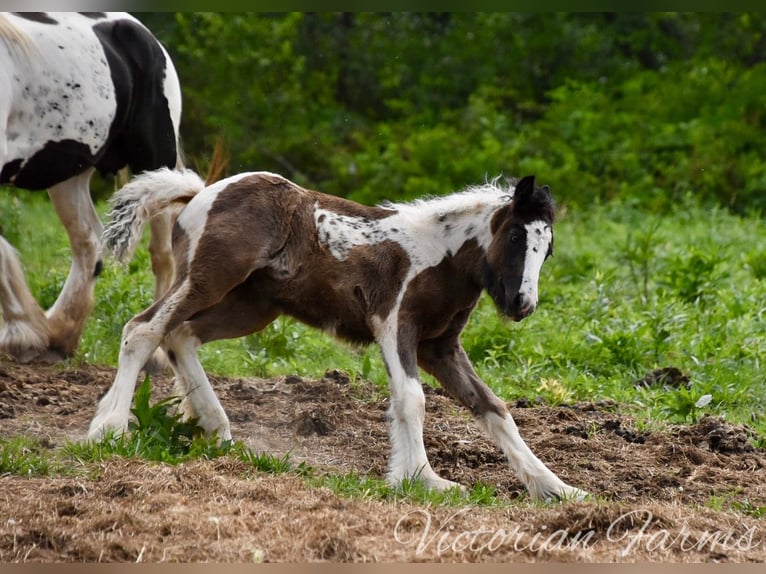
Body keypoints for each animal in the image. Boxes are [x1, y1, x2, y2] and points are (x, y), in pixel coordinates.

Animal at [0, 12, 183, 364]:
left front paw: (20, 331)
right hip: (70, 173)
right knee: (88, 243)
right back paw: (59, 334)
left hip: (155, 161)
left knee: (164, 254)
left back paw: (155, 355)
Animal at [87, 169, 588, 502]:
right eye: (517, 239)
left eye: (548, 249)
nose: (522, 305)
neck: (441, 259)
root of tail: (200, 193)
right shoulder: (395, 325)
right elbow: (411, 399)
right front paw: (423, 479)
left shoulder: (439, 347)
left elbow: (492, 407)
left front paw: (558, 488)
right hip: (209, 280)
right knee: (143, 330)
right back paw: (108, 430)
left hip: (251, 307)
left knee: (181, 337)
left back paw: (218, 430)